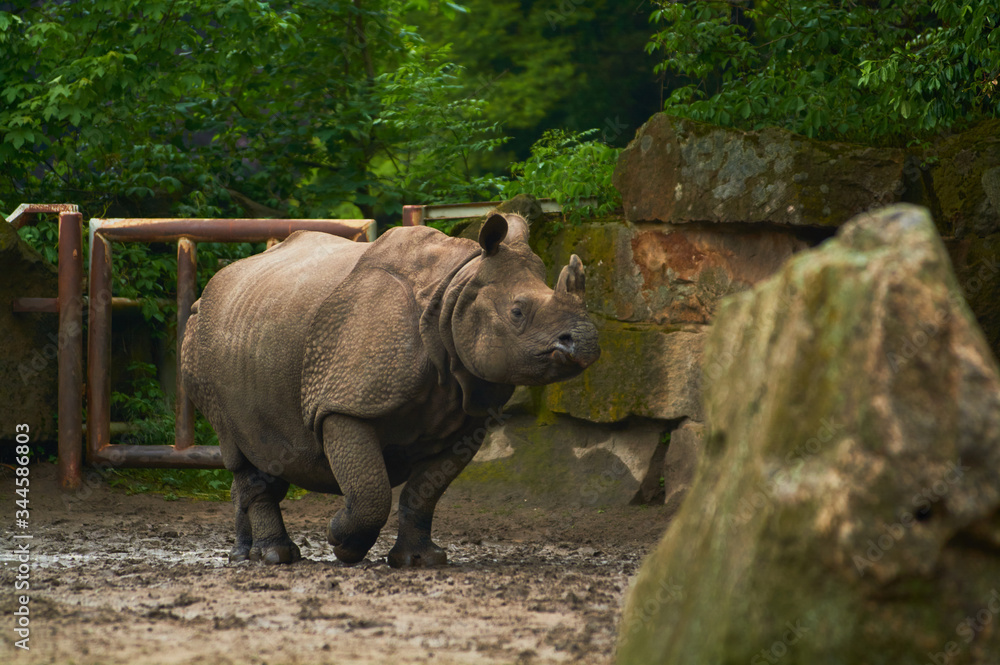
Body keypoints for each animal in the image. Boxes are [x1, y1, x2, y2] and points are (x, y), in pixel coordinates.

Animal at [180, 213, 600, 567]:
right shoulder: (344, 402)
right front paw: (341, 542)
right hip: (200, 341)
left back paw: (244, 555)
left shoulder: (466, 420)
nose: (586, 342)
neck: (455, 293)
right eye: (517, 312)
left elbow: (424, 493)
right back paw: (276, 558)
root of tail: (208, 291)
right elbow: (370, 491)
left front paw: (420, 562)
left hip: (250, 324)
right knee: (240, 449)